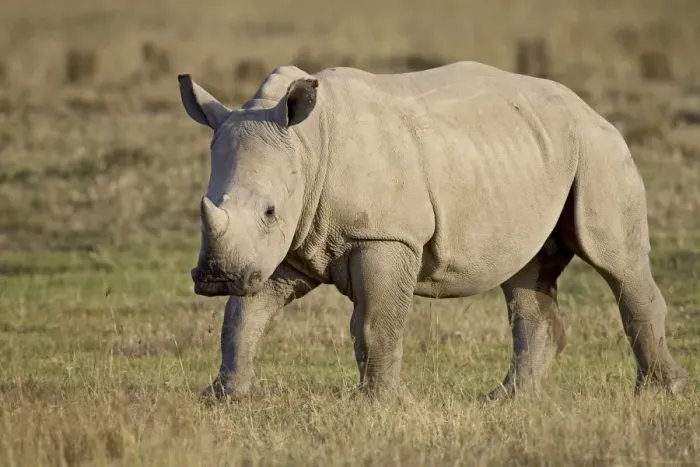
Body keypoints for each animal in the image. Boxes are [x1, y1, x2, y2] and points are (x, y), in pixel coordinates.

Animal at [177, 61, 687, 401]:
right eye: (209, 202)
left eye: (269, 211)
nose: (217, 277)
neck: (305, 146)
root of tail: (589, 107)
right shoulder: (284, 244)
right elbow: (244, 316)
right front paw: (223, 397)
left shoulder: (385, 235)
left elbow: (375, 322)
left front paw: (378, 404)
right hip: (537, 153)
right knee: (527, 274)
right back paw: (508, 401)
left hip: (599, 150)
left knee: (618, 263)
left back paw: (661, 394)